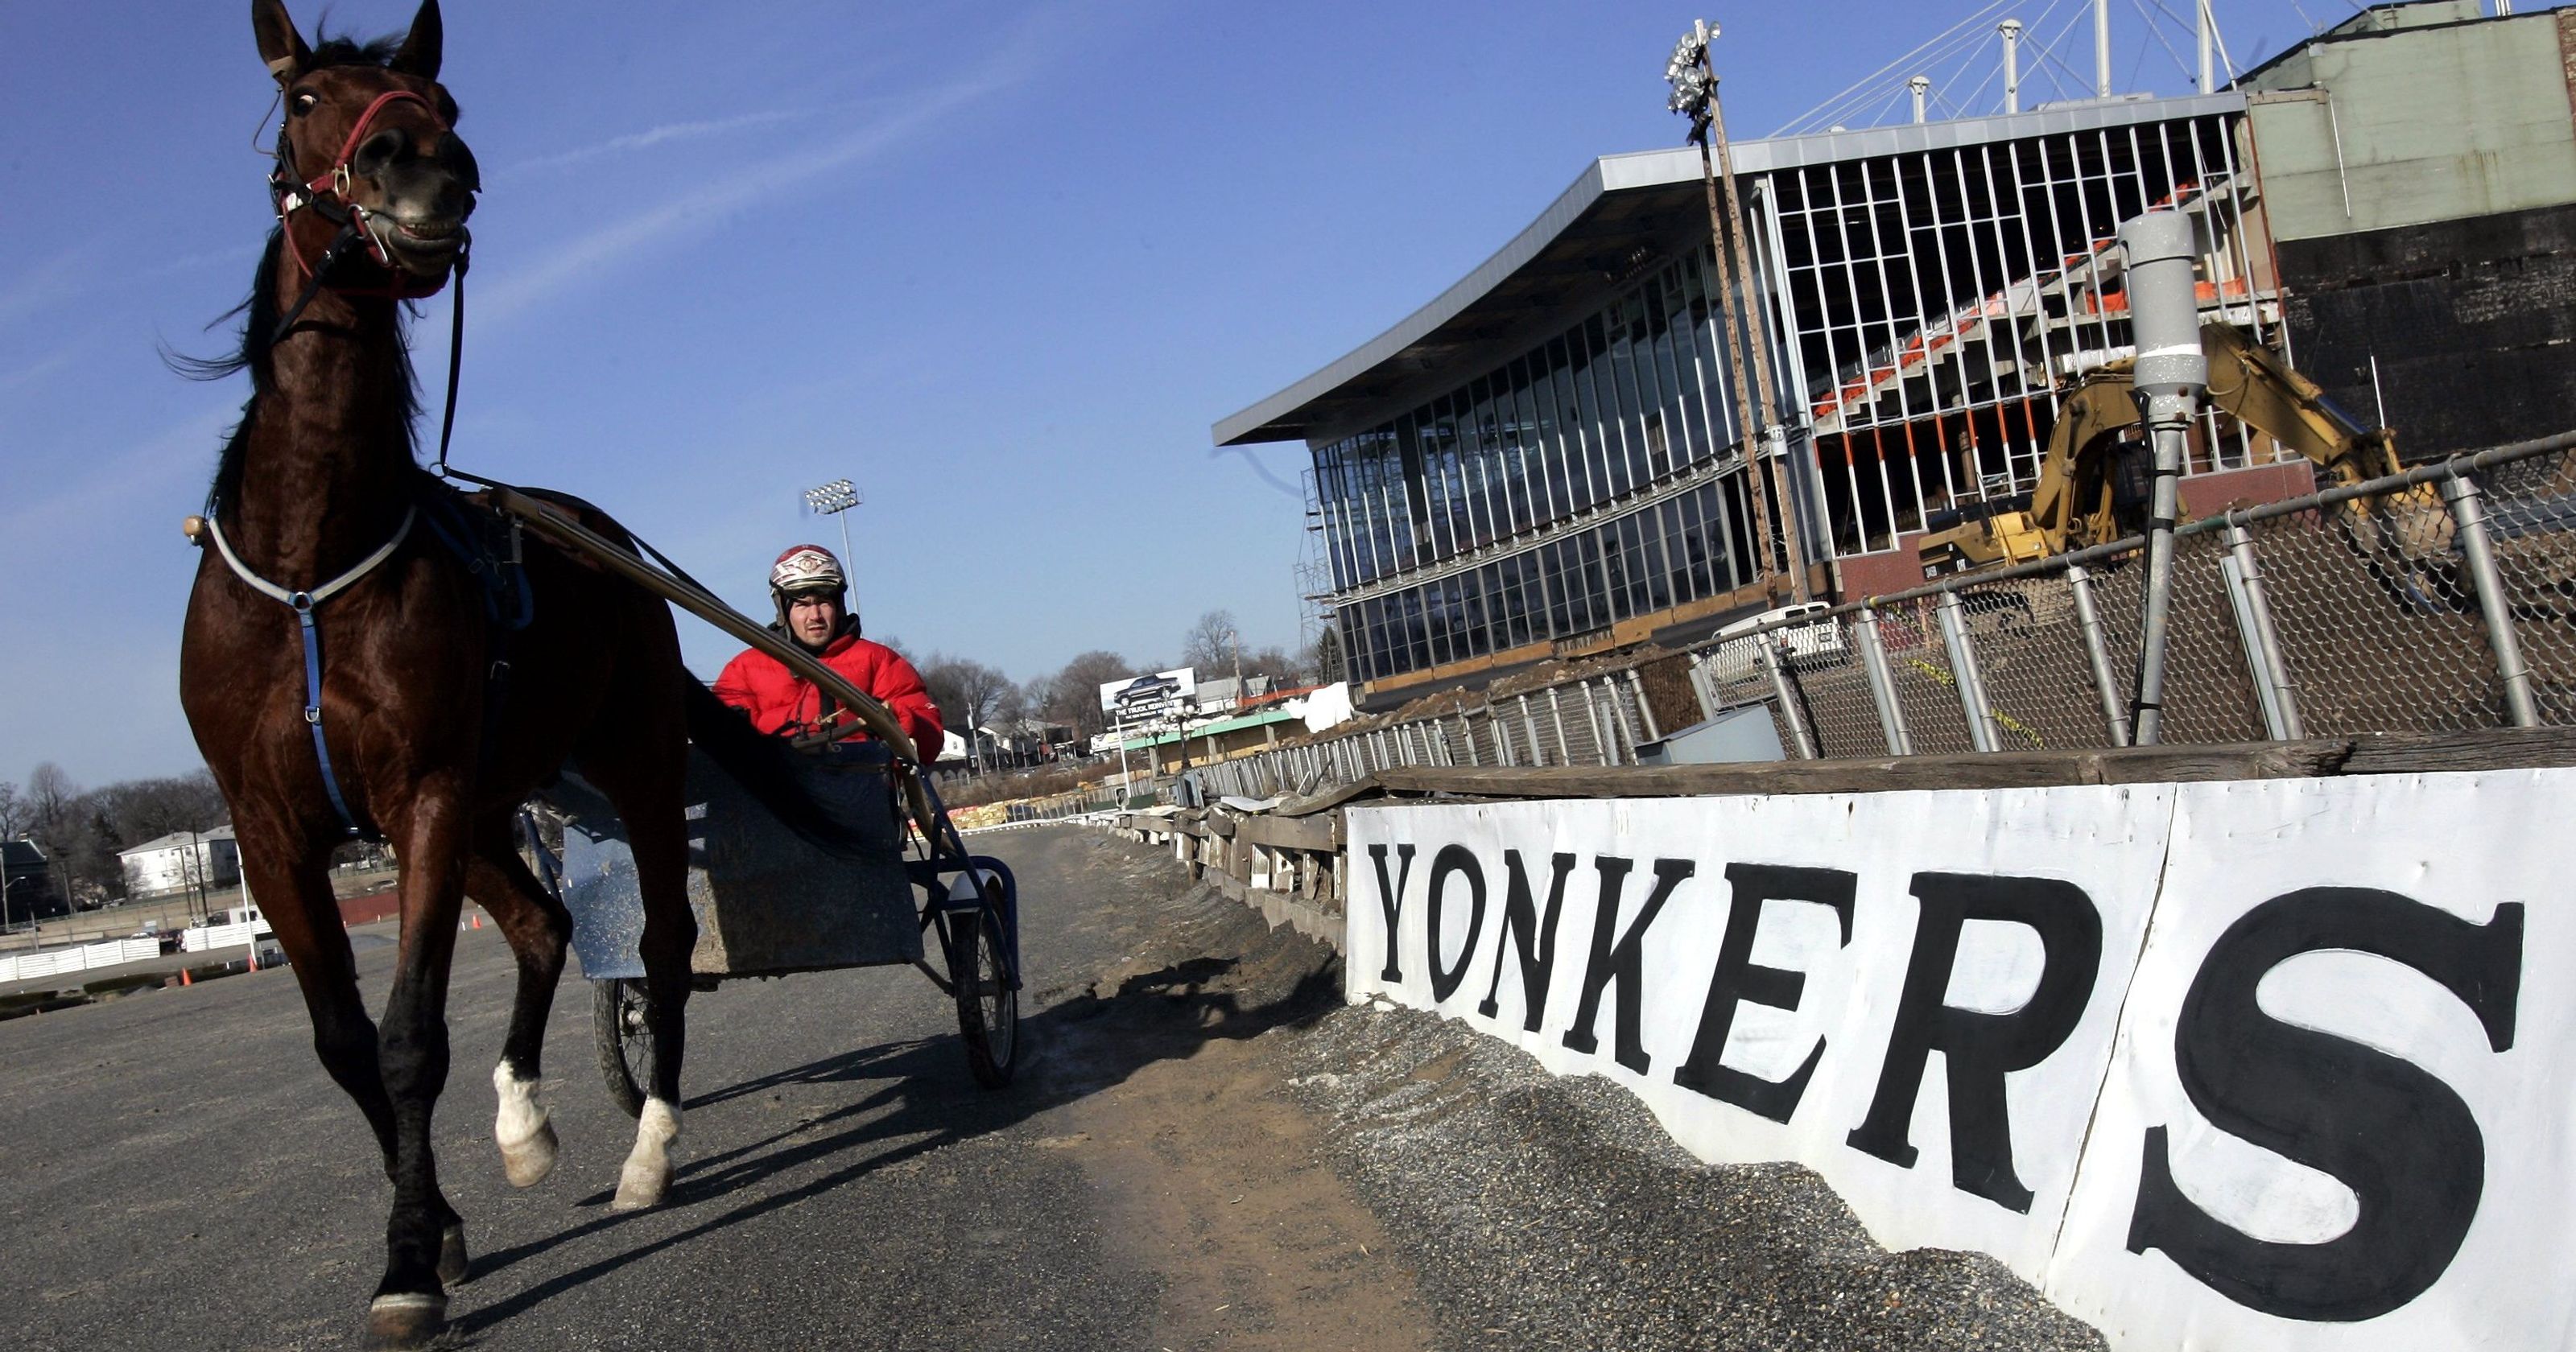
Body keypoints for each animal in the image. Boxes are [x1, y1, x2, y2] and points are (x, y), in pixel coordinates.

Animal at [179, 5, 782, 1339]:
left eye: (446, 104)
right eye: (307, 98)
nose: (420, 166)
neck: (312, 564)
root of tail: (600, 536)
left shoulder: (424, 793)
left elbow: (411, 1037)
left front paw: (408, 1263)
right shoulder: (272, 827)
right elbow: (347, 1043)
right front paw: (444, 1226)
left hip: (624, 763)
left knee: (661, 938)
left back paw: (648, 1151)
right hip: (511, 793)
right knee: (548, 924)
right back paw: (525, 1126)